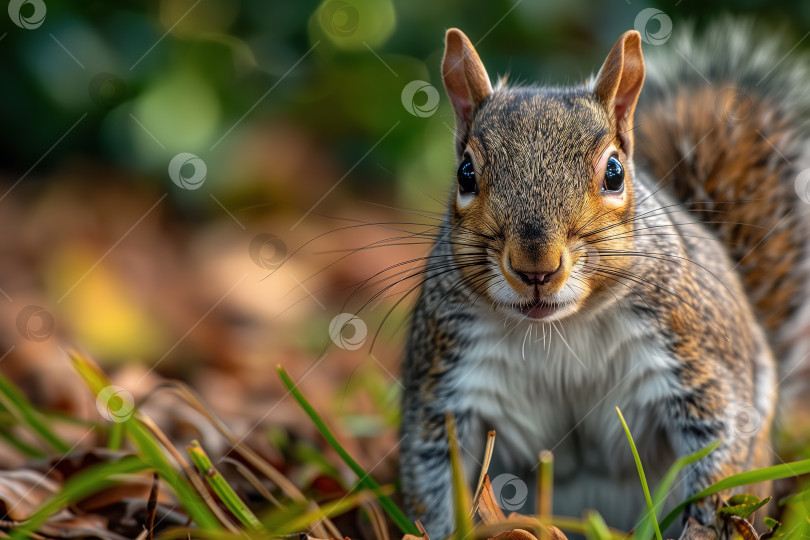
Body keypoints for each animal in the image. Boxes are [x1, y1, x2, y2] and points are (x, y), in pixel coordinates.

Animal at [398, 19, 808, 536]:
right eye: (465, 174)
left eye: (614, 172)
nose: (536, 265)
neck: (559, 330)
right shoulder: (446, 379)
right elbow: (431, 470)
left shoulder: (696, 354)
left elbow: (722, 435)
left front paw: (708, 521)